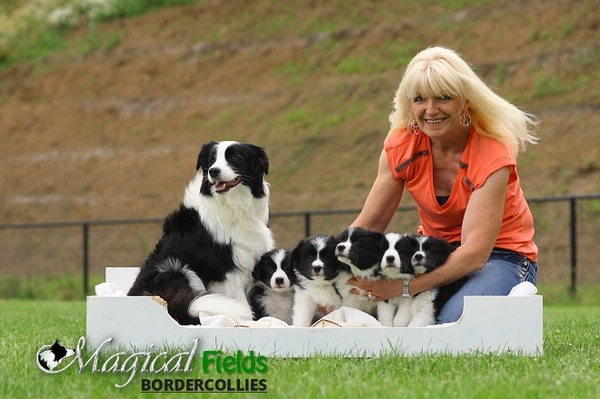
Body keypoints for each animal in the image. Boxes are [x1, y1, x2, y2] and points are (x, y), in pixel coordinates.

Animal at [130, 141, 276, 324]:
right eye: (212, 160)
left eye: (234, 158)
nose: (213, 171)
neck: (232, 204)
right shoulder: (225, 268)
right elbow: (241, 304)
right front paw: (245, 322)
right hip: (177, 269)